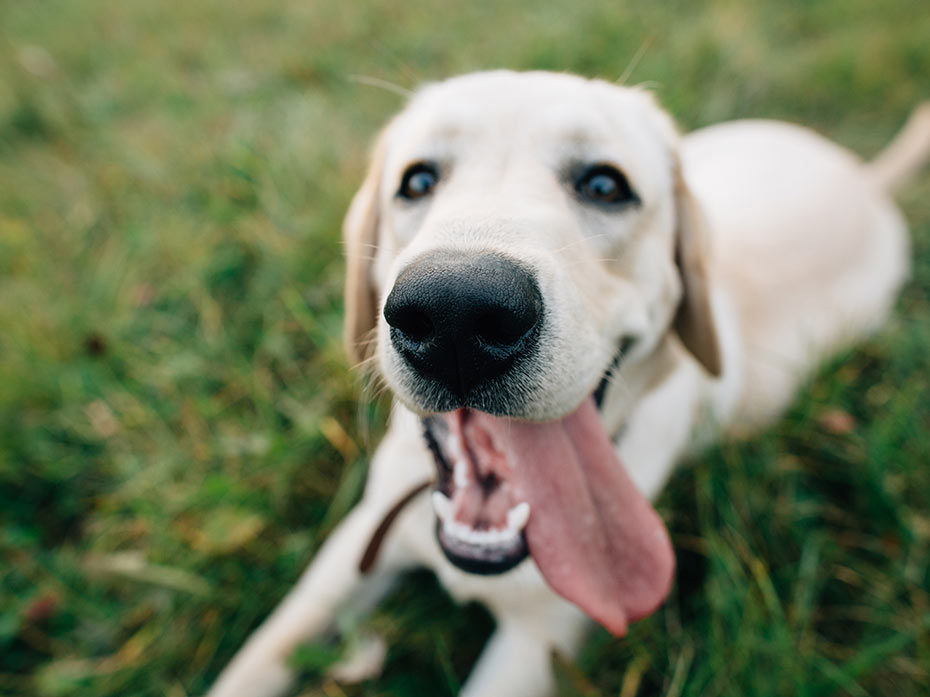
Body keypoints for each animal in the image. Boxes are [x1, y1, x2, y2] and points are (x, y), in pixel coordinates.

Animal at [205, 72, 928, 696]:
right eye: (417, 180)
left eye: (606, 185)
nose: (456, 314)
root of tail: (864, 177)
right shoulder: (357, 543)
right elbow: (263, 652)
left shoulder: (538, 647)